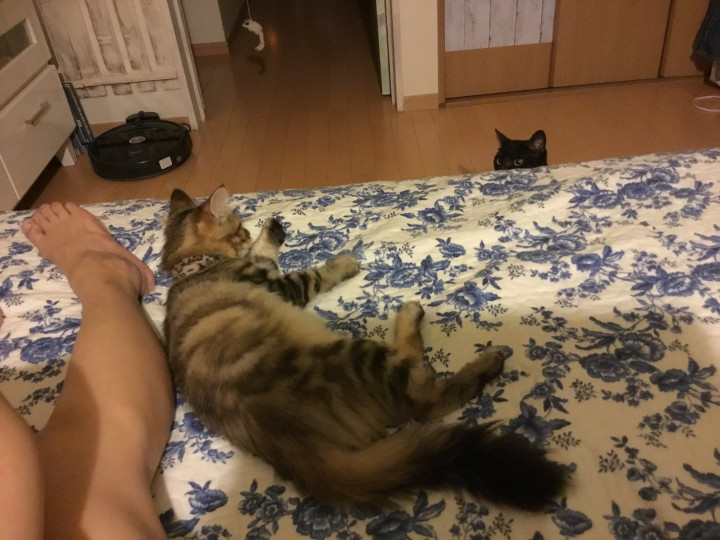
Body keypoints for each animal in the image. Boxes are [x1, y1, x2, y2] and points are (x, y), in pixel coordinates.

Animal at [160, 186, 567, 510]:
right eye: (239, 227)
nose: (247, 230)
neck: (190, 267)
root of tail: (292, 448)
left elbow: (265, 251)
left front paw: (272, 229)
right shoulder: (281, 285)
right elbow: (313, 271)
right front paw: (343, 261)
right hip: (360, 357)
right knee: (425, 399)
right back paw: (448, 338)